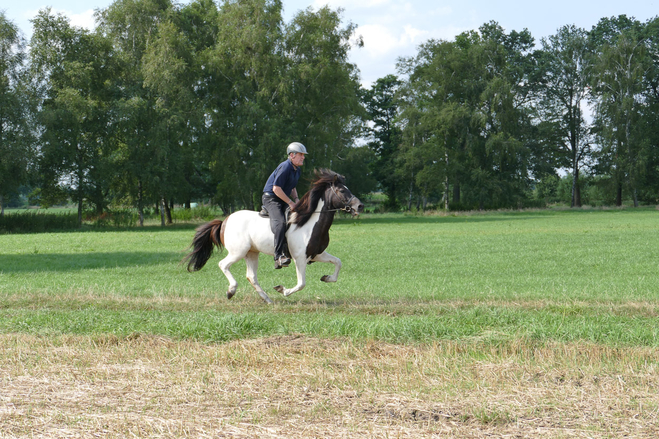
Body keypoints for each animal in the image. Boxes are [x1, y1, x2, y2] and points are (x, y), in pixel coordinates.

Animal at [183, 170, 364, 304]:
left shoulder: (316, 254)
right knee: (223, 264)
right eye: (342, 190)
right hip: (238, 252)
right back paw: (231, 291)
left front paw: (327, 278)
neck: (309, 223)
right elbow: (301, 284)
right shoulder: (299, 258)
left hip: (251, 253)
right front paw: (283, 290)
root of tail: (225, 221)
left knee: (251, 276)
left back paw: (267, 299)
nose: (360, 206)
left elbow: (338, 262)